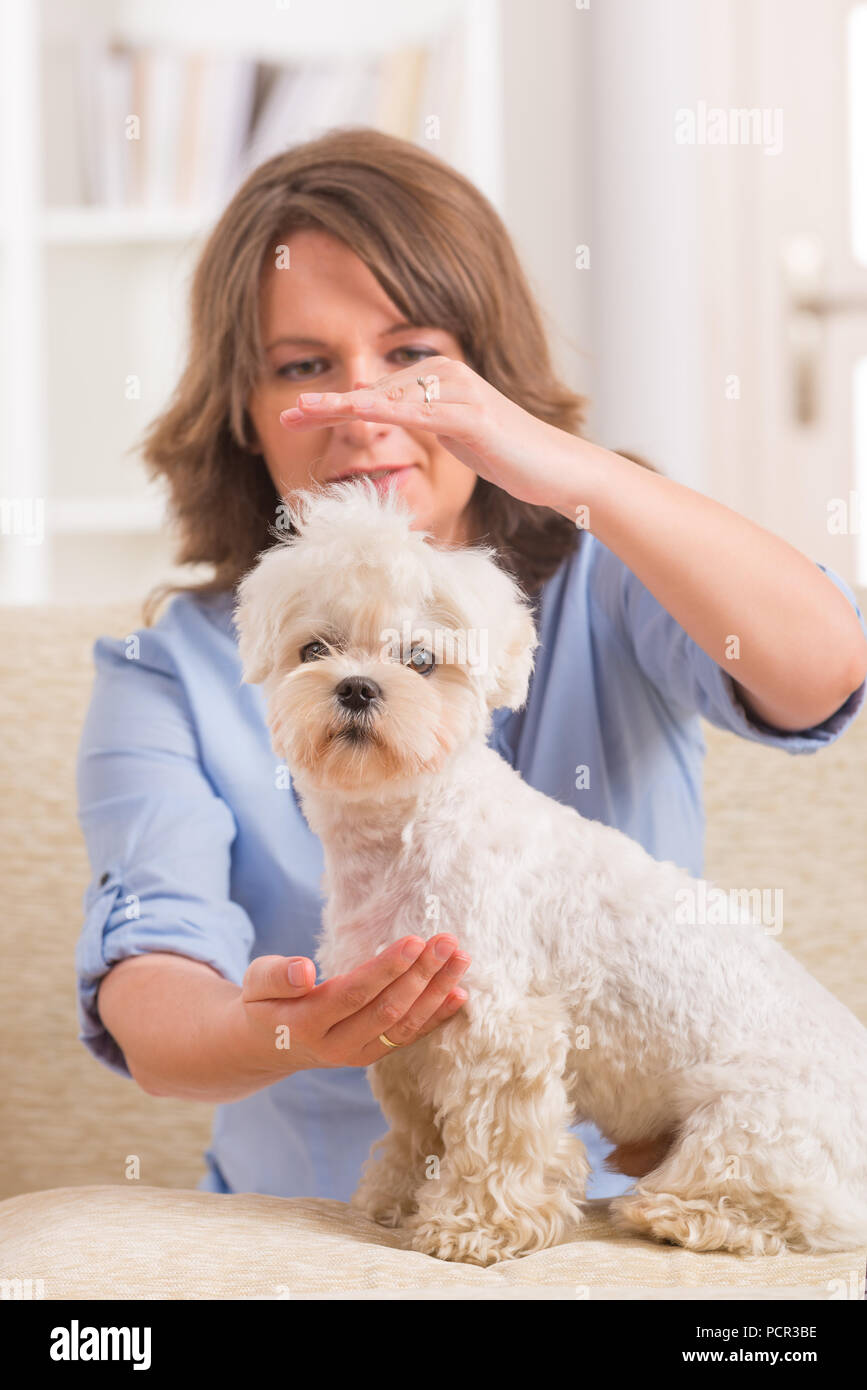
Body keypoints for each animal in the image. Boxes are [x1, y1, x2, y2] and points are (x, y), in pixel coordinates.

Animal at [233, 483, 867, 1267]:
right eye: (314, 649)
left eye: (421, 660)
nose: (355, 687)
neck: (404, 831)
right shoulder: (408, 1029)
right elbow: (416, 1126)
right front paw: (397, 1196)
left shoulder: (501, 1025)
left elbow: (495, 1139)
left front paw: (475, 1227)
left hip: (752, 1119)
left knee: (779, 1205)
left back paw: (671, 1212)